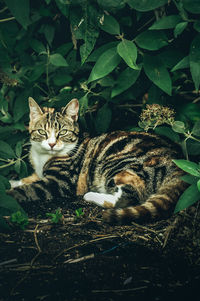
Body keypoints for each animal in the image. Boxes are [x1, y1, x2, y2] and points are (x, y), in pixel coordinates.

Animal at [7, 96, 188, 223]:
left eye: (63, 132)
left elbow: (28, 189)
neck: (43, 156)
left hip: (119, 164)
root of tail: (177, 161)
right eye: (42, 132)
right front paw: (12, 182)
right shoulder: (39, 173)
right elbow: (27, 179)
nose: (51, 144)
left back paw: (91, 195)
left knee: (127, 199)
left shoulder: (59, 182)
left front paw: (9, 194)